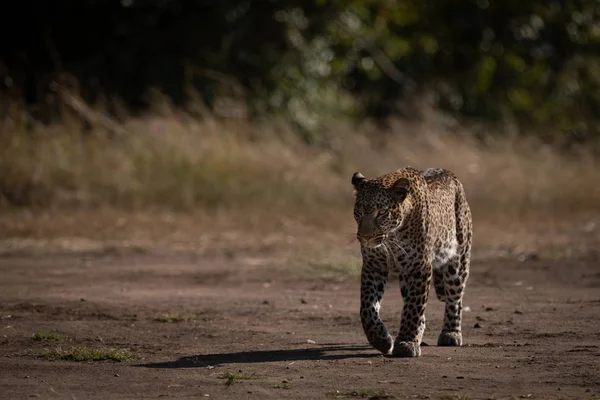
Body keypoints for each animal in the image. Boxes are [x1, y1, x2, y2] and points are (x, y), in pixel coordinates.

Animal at [352, 164, 474, 358]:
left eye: (382, 213)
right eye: (359, 211)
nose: (365, 237)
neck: (392, 237)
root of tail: (452, 175)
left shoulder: (420, 267)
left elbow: (414, 306)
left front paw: (406, 343)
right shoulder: (374, 266)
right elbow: (367, 307)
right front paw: (380, 339)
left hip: (458, 262)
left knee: (455, 299)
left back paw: (451, 333)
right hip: (405, 275)